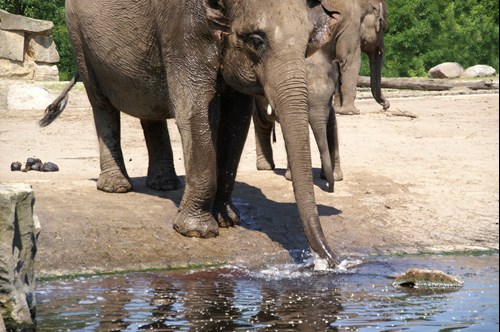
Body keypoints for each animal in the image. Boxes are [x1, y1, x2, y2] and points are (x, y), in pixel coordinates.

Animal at [254, 51, 344, 192]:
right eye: (305, 99)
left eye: (331, 97)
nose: (331, 188)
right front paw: (290, 178)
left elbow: (332, 127)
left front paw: (336, 177)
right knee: (262, 123)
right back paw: (265, 167)